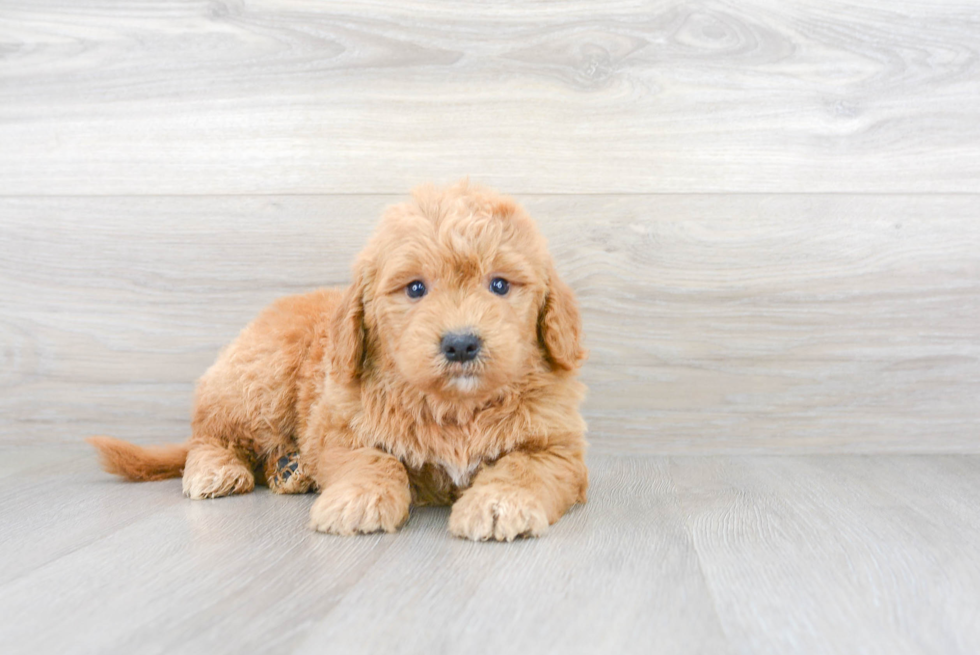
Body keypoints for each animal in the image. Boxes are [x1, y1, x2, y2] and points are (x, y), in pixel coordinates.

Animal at [88, 181, 584, 544]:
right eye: (416, 288)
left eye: (500, 285)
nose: (461, 344)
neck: (455, 407)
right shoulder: (340, 427)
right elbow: (371, 460)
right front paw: (358, 500)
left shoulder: (558, 447)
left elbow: (523, 468)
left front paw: (499, 504)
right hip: (257, 378)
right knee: (209, 434)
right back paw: (219, 468)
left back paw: (291, 470)